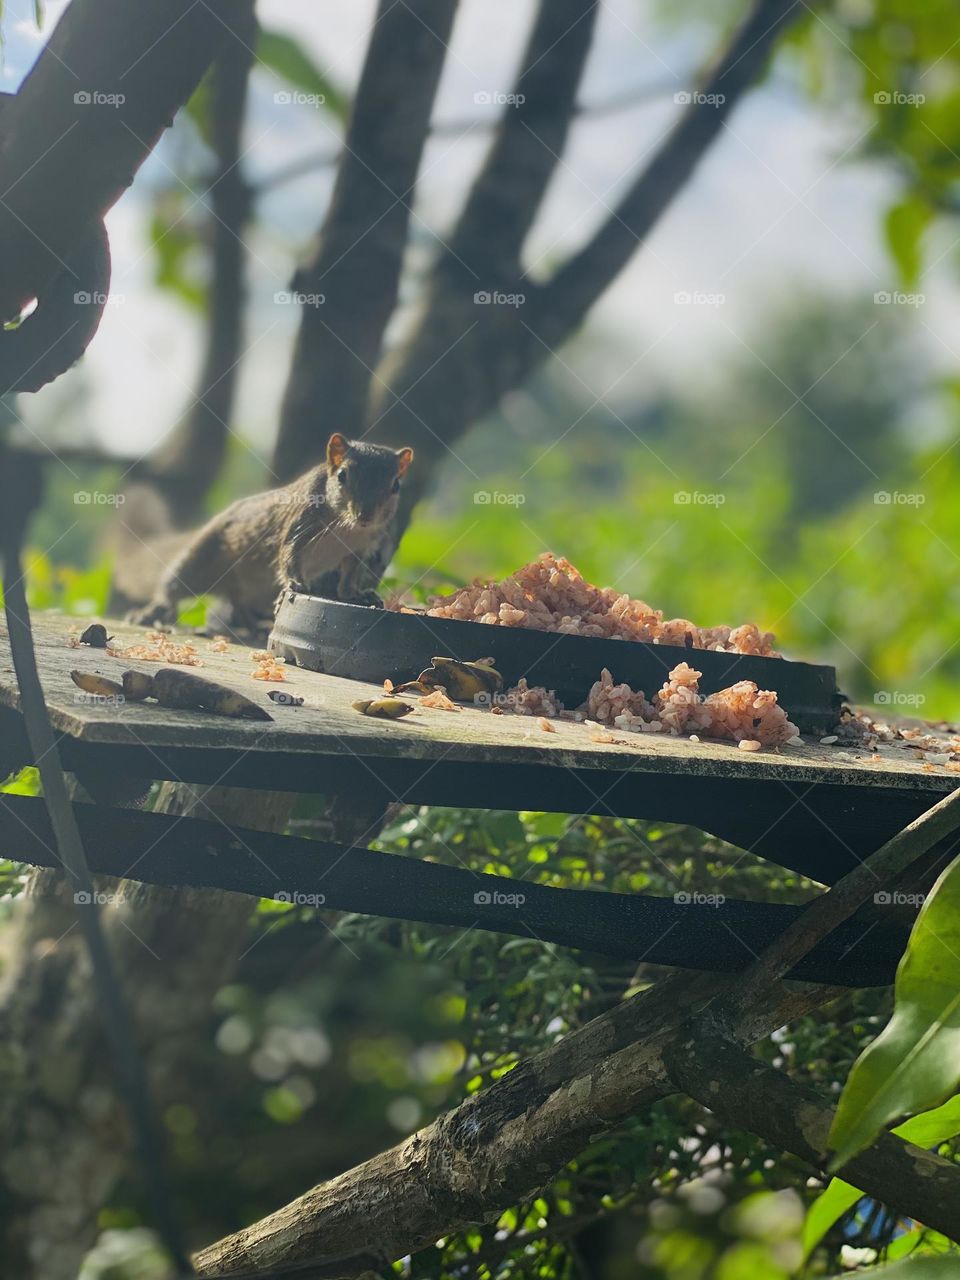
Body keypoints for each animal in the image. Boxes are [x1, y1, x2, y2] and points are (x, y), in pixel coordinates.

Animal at [126, 433, 414, 628]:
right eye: (342, 475)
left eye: (396, 486)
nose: (365, 516)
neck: (348, 528)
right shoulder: (300, 523)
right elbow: (288, 554)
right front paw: (296, 584)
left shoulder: (361, 546)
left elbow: (350, 574)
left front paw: (356, 594)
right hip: (204, 555)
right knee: (176, 584)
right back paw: (154, 610)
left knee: (237, 600)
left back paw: (251, 622)